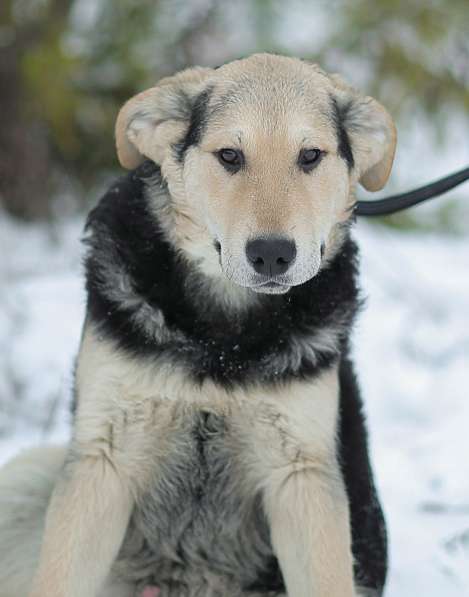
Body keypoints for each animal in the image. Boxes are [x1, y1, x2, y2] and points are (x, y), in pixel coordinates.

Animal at [0, 53, 394, 592]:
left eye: (311, 156)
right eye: (229, 156)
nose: (272, 254)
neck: (221, 342)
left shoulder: (302, 474)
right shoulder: (102, 460)